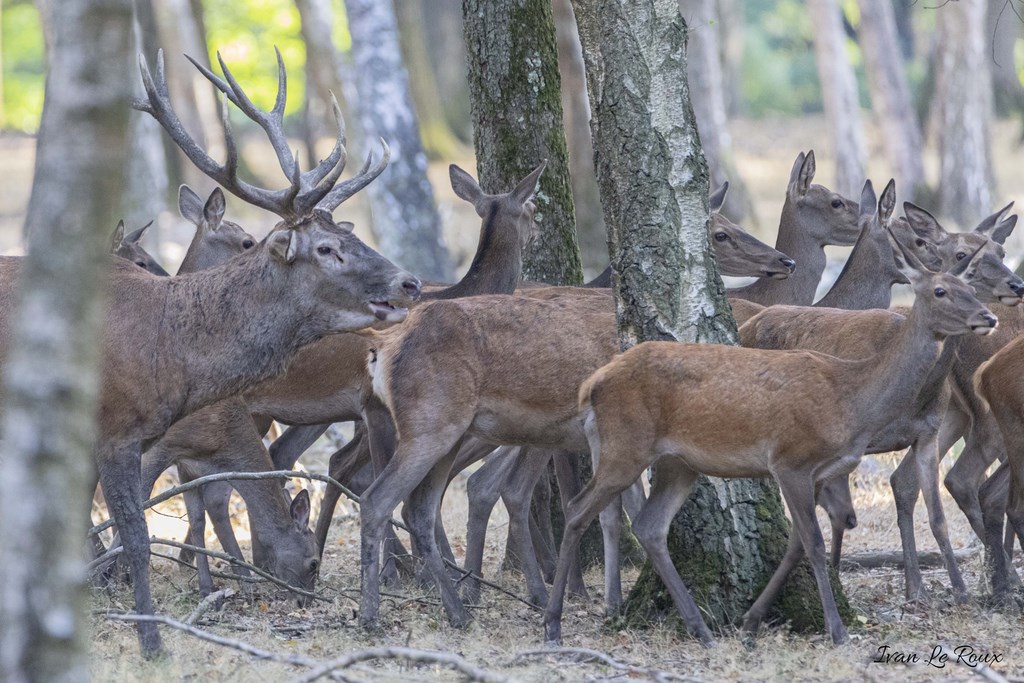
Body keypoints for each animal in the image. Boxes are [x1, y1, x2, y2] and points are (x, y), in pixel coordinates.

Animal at [42, 47, 420, 658]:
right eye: (326, 248)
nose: (409, 282)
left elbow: (205, 505)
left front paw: (218, 579)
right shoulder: (138, 438)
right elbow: (149, 517)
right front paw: (146, 611)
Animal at [543, 209, 997, 647]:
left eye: (971, 289)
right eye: (940, 291)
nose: (989, 316)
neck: (852, 399)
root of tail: (593, 385)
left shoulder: (820, 471)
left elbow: (797, 543)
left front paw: (751, 621)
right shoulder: (790, 460)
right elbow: (813, 542)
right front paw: (836, 630)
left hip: (678, 463)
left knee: (650, 527)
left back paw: (701, 629)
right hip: (624, 445)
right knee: (578, 509)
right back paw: (553, 623)